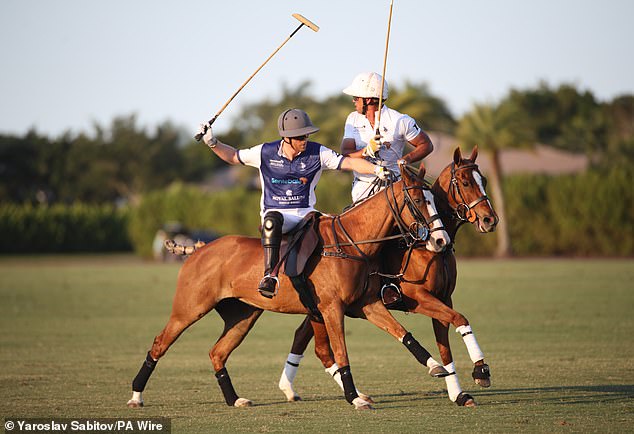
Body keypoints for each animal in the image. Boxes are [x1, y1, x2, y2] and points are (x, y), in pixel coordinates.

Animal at [126, 163, 450, 410]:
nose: (440, 240)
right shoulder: (332, 309)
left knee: (217, 352)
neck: (352, 242)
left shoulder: (367, 304)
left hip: (243, 316)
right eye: (418, 201)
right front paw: (355, 398)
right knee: (160, 343)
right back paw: (136, 396)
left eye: (434, 199)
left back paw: (235, 399)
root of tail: (200, 248)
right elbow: (341, 352)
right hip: (189, 309)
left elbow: (403, 333)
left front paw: (436, 366)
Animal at [276, 147, 498, 406]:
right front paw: (481, 370)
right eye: (464, 182)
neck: (427, 247)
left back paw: (292, 388)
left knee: (305, 337)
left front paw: (459, 393)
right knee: (314, 343)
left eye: (483, 180)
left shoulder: (444, 298)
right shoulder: (418, 297)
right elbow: (460, 319)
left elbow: (446, 345)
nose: (490, 219)